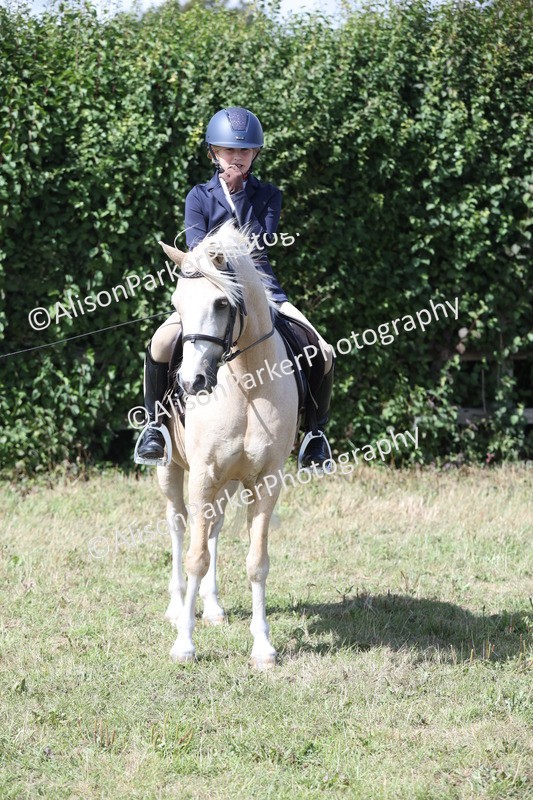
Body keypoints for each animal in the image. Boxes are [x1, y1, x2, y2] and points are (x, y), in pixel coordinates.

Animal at [156, 223, 299, 669]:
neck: (247, 382)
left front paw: (263, 647)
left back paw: (214, 606)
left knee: (214, 528)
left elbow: (256, 562)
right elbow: (195, 556)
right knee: (178, 526)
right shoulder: (202, 476)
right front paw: (184, 643)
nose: (191, 383)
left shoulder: (266, 481)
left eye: (222, 303)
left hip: (230, 483)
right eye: (177, 304)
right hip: (170, 470)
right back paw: (176, 605)